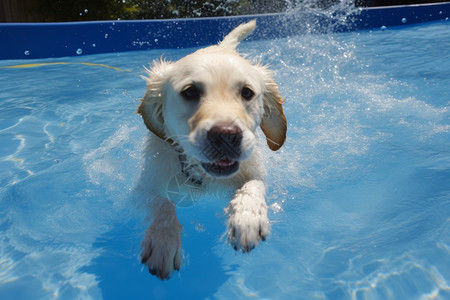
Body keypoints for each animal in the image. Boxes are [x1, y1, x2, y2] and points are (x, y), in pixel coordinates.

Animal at [135, 19, 286, 280]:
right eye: (190, 91)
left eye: (247, 92)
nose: (226, 136)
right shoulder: (142, 187)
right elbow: (161, 203)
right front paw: (163, 240)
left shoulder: (253, 170)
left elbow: (253, 185)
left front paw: (247, 217)